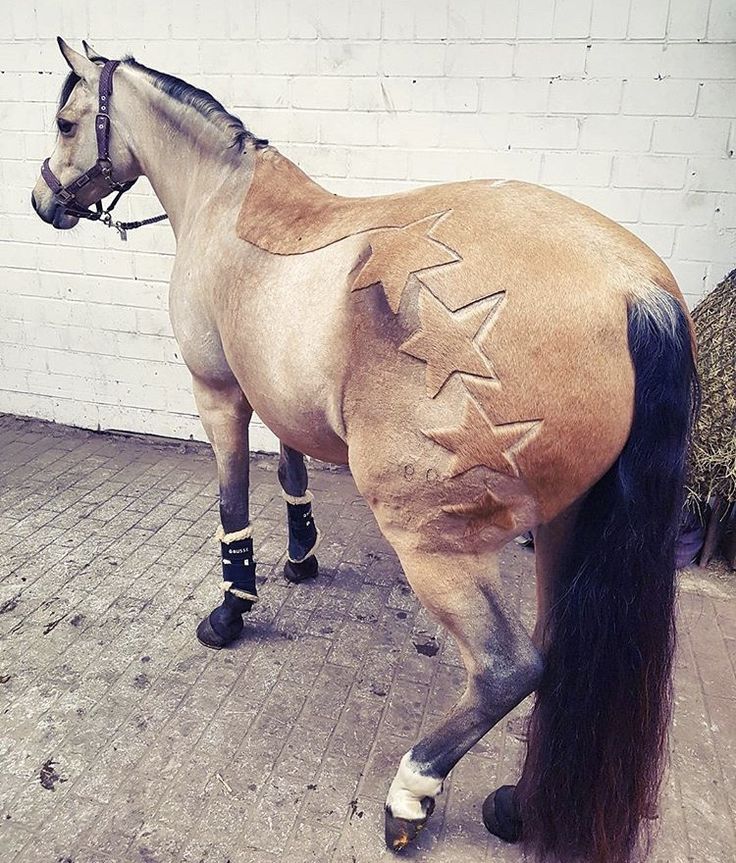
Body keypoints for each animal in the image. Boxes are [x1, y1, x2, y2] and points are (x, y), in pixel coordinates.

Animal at [31, 40, 700, 863]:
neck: (226, 204)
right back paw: (519, 805)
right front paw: (301, 557)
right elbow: (290, 470)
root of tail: (635, 291)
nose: (43, 200)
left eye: (65, 121)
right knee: (561, 659)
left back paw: (412, 791)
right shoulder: (275, 396)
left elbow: (231, 501)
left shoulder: (219, 394)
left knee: (509, 669)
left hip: (435, 543)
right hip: (565, 527)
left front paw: (232, 609)